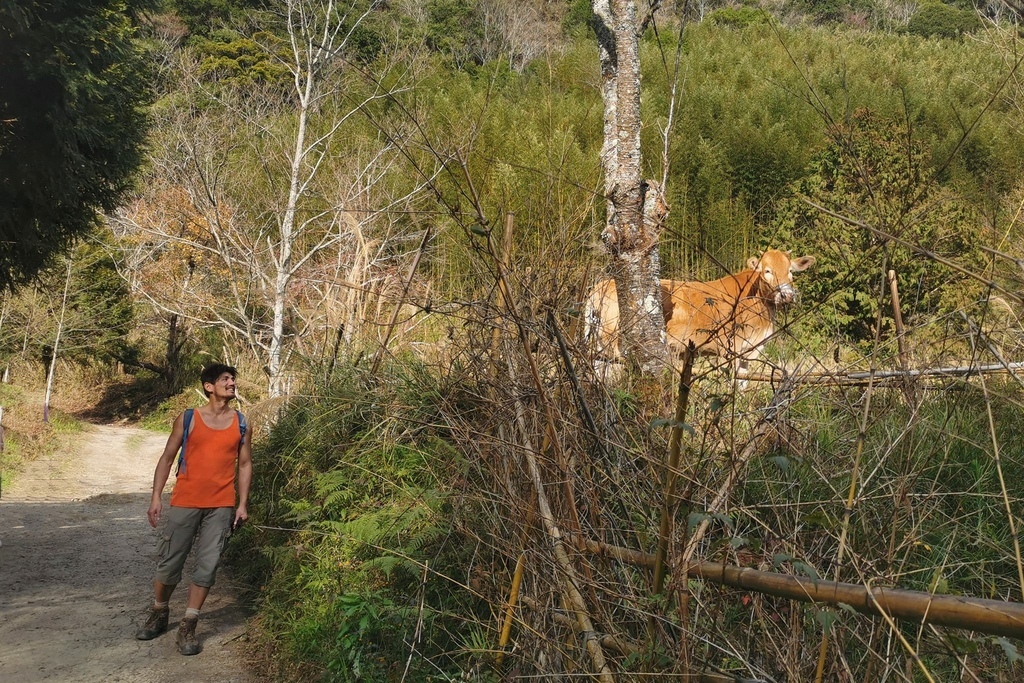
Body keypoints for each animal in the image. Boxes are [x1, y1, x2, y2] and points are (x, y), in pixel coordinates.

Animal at [585, 250, 815, 378]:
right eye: (767, 271)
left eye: (791, 271)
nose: (786, 295)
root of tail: (602, 285)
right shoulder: (730, 348)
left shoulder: (749, 352)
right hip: (613, 340)